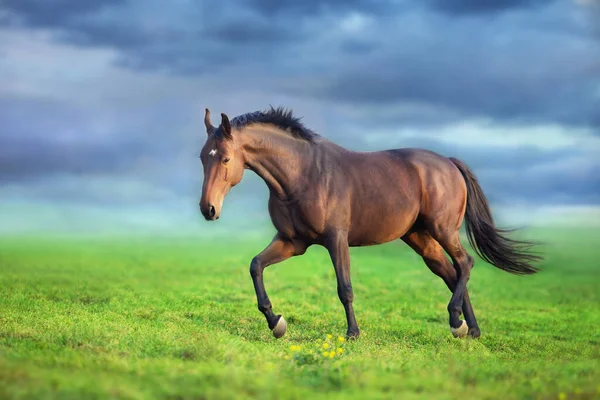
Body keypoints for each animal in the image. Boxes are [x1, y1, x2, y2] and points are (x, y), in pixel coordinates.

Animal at [199, 107, 540, 340]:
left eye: (226, 158)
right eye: (203, 157)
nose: (208, 209)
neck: (302, 175)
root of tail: (450, 163)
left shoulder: (336, 239)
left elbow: (345, 288)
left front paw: (352, 333)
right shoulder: (292, 242)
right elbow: (256, 266)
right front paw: (276, 322)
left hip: (443, 230)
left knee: (465, 263)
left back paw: (457, 321)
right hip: (421, 239)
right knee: (451, 272)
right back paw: (470, 329)